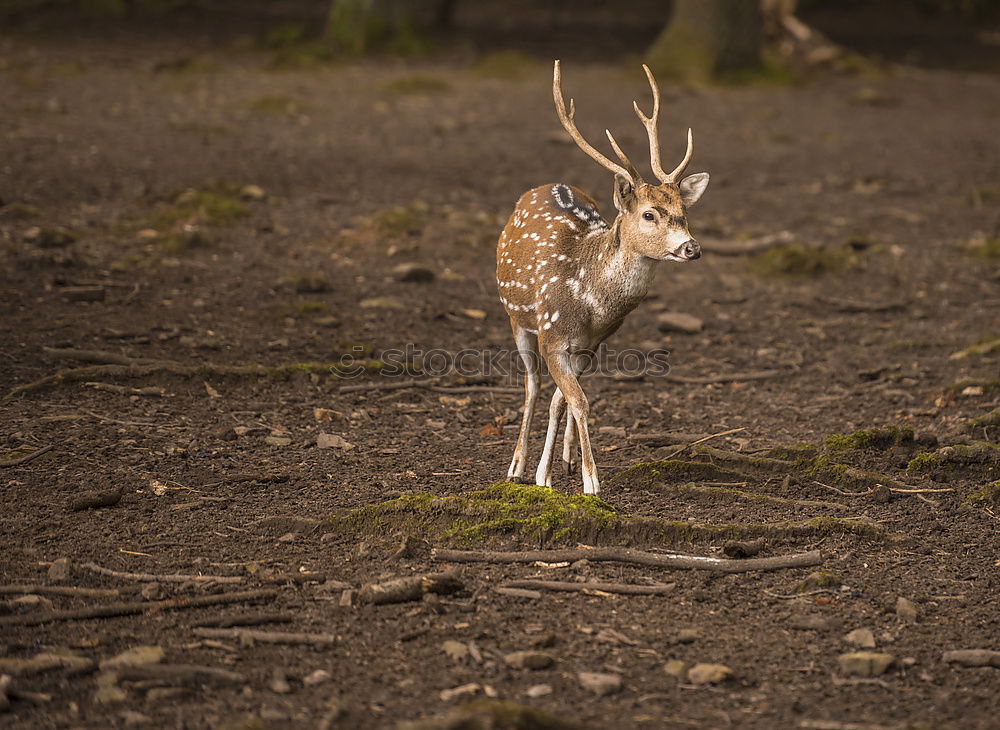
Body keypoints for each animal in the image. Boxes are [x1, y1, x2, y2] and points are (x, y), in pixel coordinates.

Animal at [496, 61, 708, 494]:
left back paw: (562, 459)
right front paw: (591, 481)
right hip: (515, 316)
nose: (691, 247)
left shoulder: (592, 343)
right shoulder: (552, 335)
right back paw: (517, 465)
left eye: (684, 212)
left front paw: (555, 471)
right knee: (531, 384)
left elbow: (567, 400)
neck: (590, 303)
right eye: (649, 214)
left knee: (552, 395)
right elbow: (576, 400)